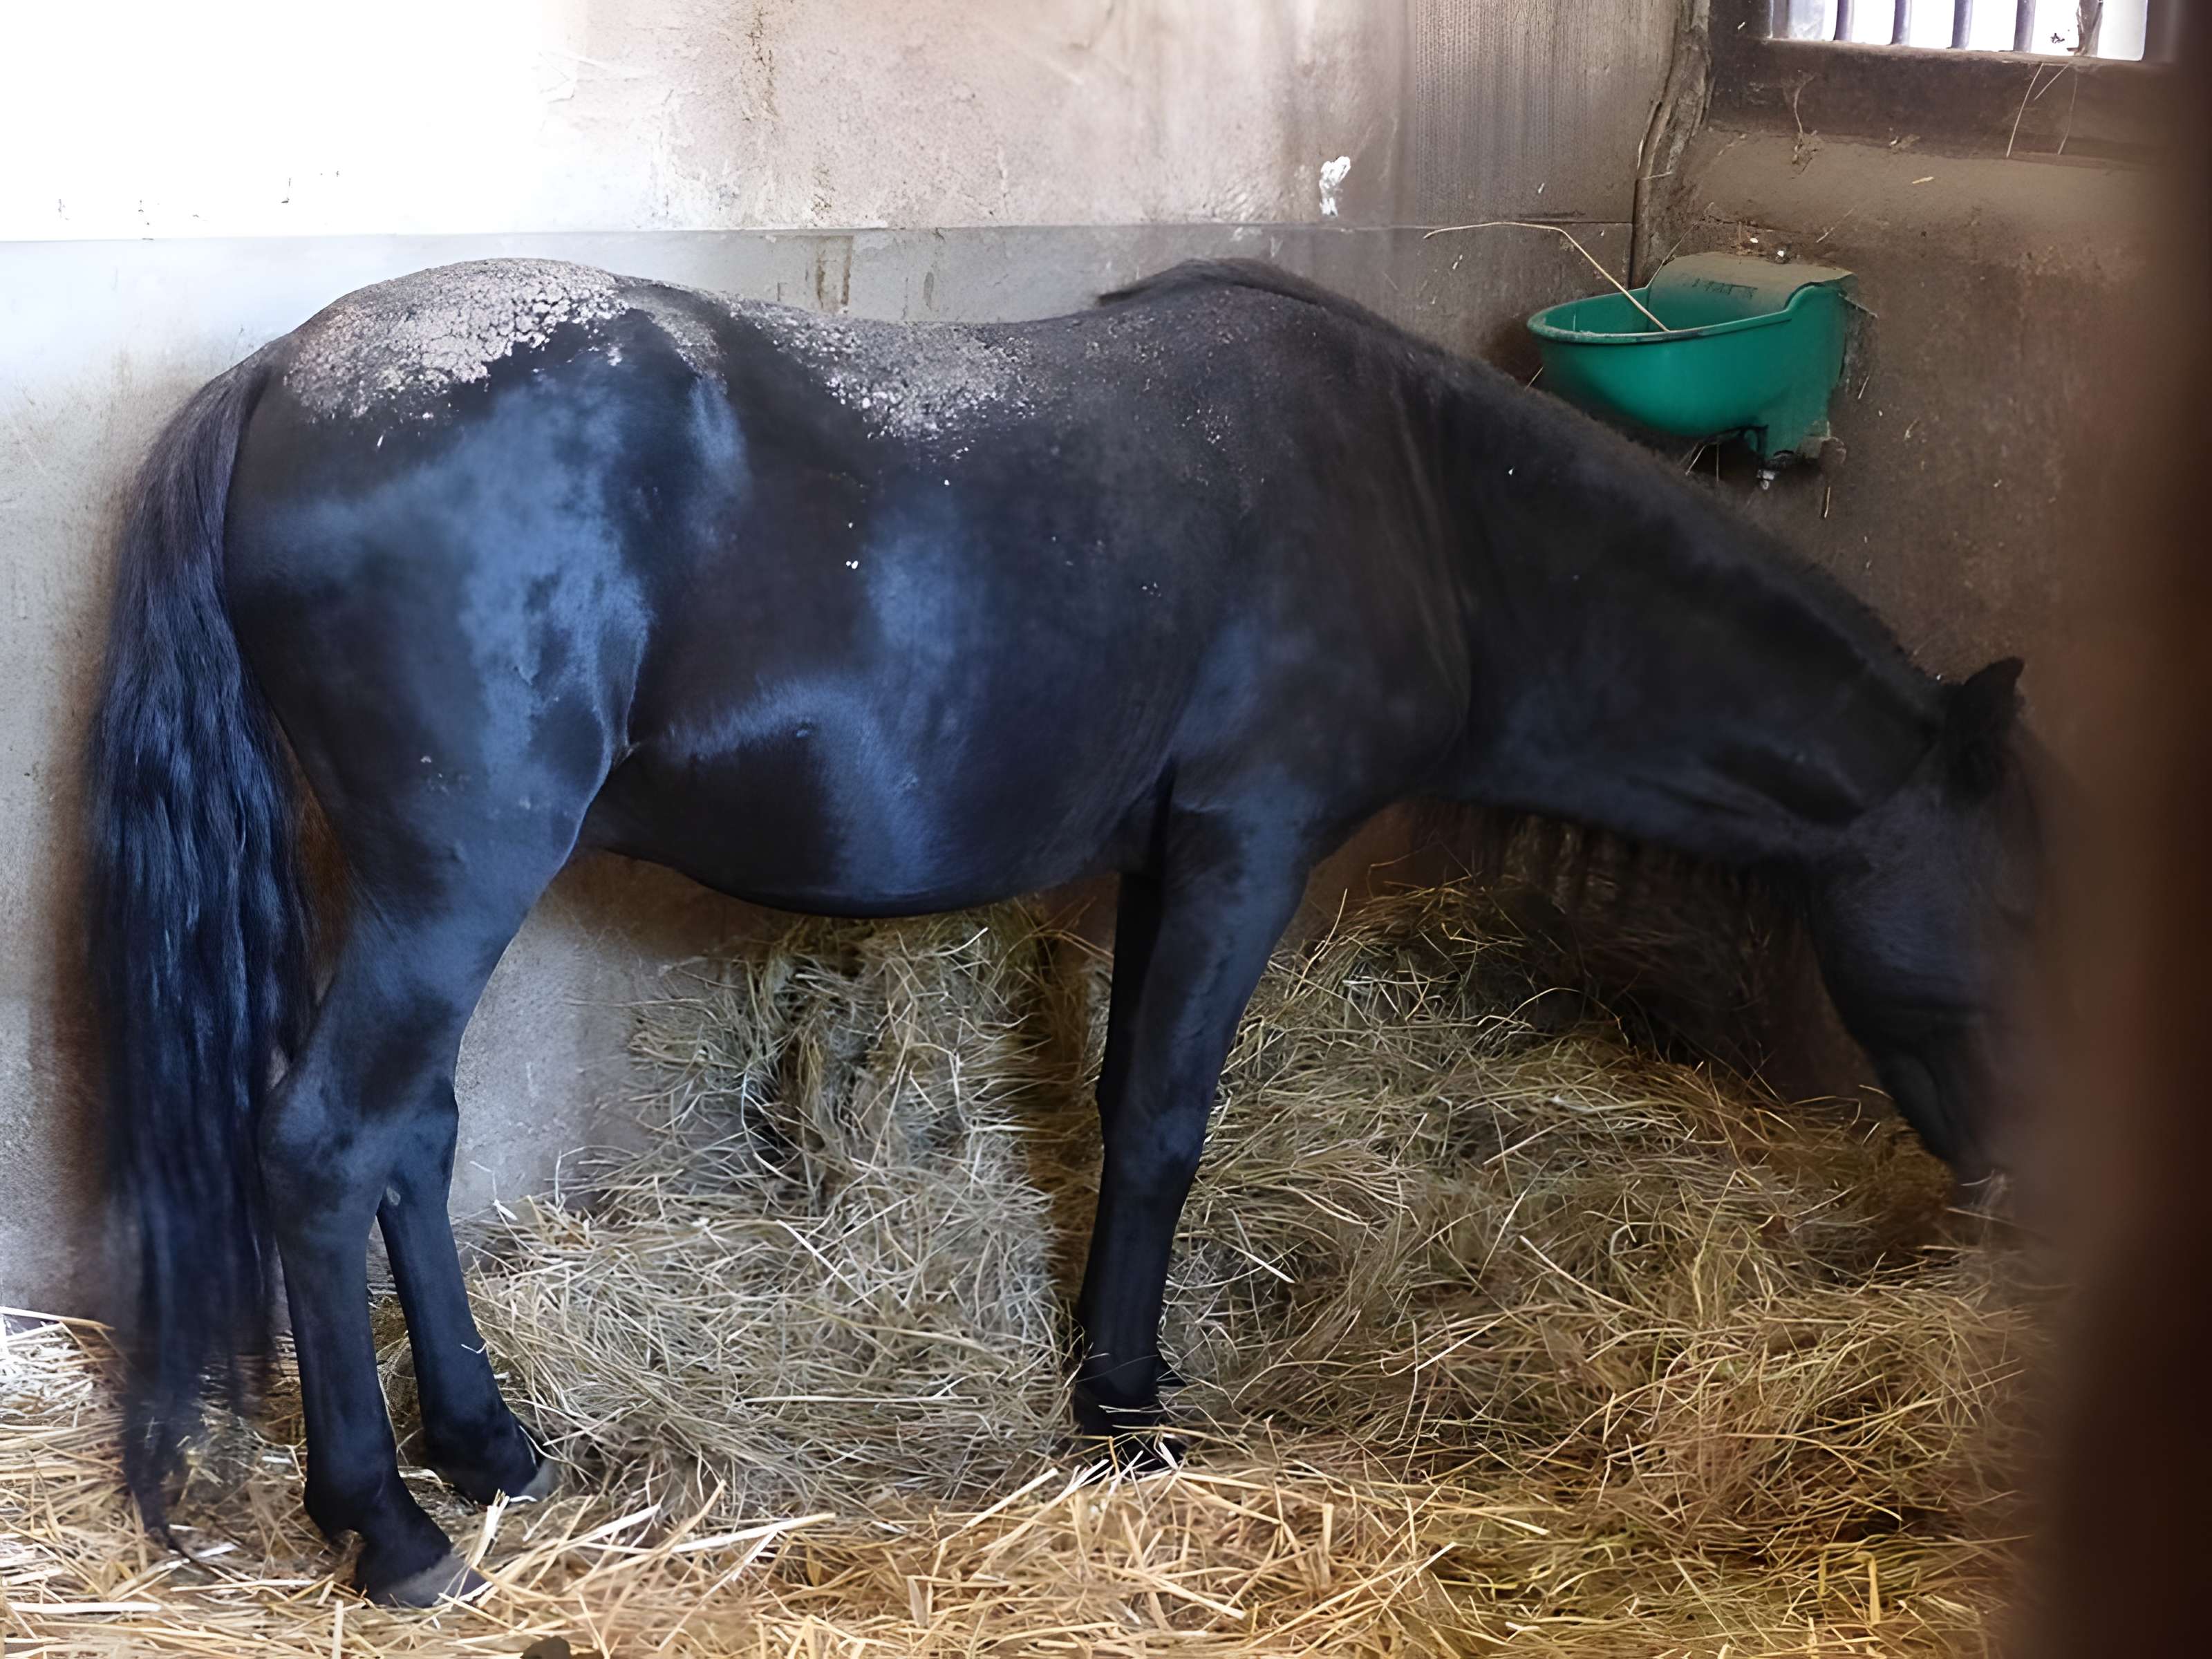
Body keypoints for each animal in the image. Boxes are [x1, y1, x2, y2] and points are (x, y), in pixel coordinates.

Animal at [86, 257, 2041, 1605]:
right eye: (2032, 917)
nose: (2029, 1193)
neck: (1423, 508)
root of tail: (280, 379)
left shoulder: (1178, 854)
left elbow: (1122, 1107)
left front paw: (1113, 1377)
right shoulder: (1250, 842)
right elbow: (1167, 1120)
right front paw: (1126, 1412)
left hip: (419, 890)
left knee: (407, 1139)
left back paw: (489, 1445)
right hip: (455, 875)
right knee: (327, 1146)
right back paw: (390, 1523)